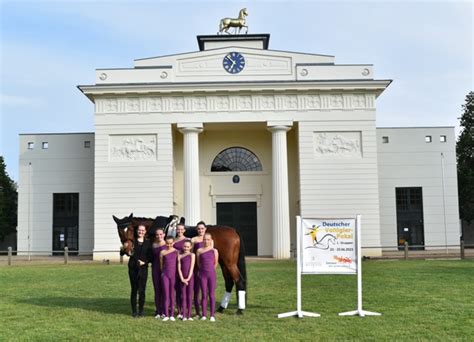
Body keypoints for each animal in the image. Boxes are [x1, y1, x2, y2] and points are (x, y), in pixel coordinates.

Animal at [113, 214, 248, 316]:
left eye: (130, 229)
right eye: (119, 231)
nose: (127, 250)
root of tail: (233, 230)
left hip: (230, 263)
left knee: (239, 281)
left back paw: (239, 309)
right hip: (224, 263)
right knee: (229, 282)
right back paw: (221, 308)